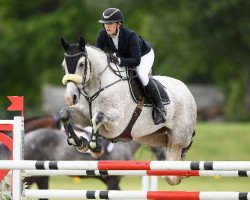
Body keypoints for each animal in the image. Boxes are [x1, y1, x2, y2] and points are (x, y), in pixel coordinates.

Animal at [23, 128, 164, 200]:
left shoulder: (111, 180)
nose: (163, 156)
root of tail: (27, 137)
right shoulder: (113, 179)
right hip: (31, 176)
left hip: (41, 176)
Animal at [59, 36, 197, 186]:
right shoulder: (84, 116)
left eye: (81, 64)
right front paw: (79, 142)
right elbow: (64, 113)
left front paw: (95, 147)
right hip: (151, 137)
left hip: (179, 136)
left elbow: (98, 117)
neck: (97, 88)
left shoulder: (117, 124)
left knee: (182, 147)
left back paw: (178, 174)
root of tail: (186, 90)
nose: (70, 97)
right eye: (63, 66)